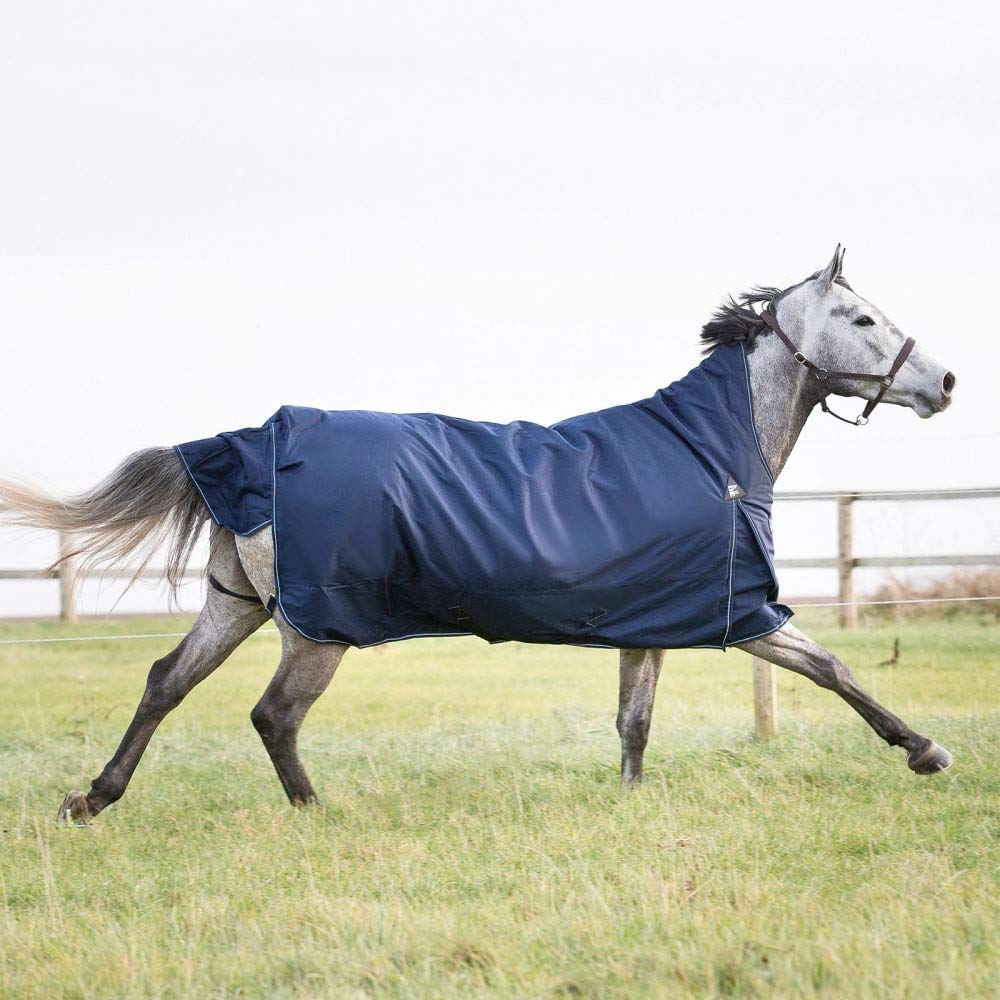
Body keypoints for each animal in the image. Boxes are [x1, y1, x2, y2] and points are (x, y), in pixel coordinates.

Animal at [0, 247, 957, 825]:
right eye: (863, 319)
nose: (945, 381)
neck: (711, 450)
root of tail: (253, 441)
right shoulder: (744, 614)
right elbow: (832, 670)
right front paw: (924, 750)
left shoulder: (650, 621)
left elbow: (634, 722)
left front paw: (628, 802)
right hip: (317, 628)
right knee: (274, 715)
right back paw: (315, 811)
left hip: (237, 605)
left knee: (166, 682)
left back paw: (93, 798)